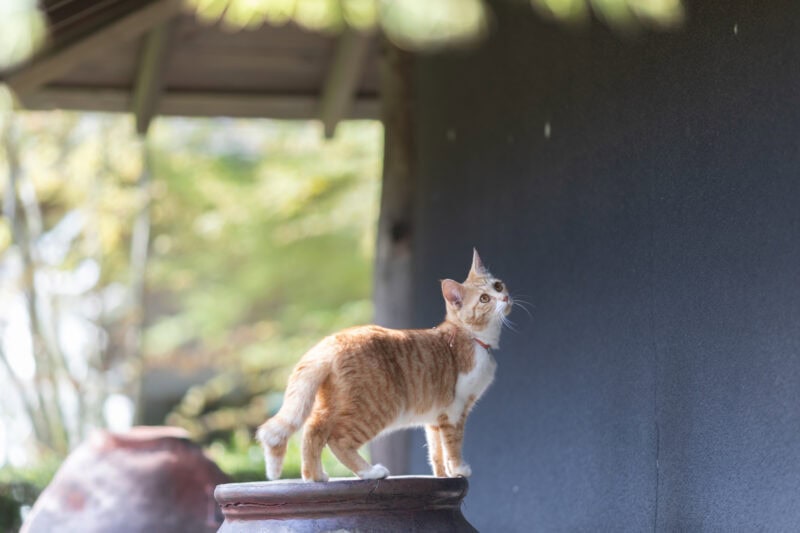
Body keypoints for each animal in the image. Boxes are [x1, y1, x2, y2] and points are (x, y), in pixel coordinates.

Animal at [256, 247, 512, 480]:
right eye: (484, 299)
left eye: (498, 286)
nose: (505, 298)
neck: (475, 338)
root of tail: (332, 341)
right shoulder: (454, 411)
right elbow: (453, 444)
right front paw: (459, 469)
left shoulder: (435, 418)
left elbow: (436, 450)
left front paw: (443, 475)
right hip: (376, 408)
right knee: (337, 439)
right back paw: (369, 472)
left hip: (333, 404)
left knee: (312, 430)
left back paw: (315, 476)